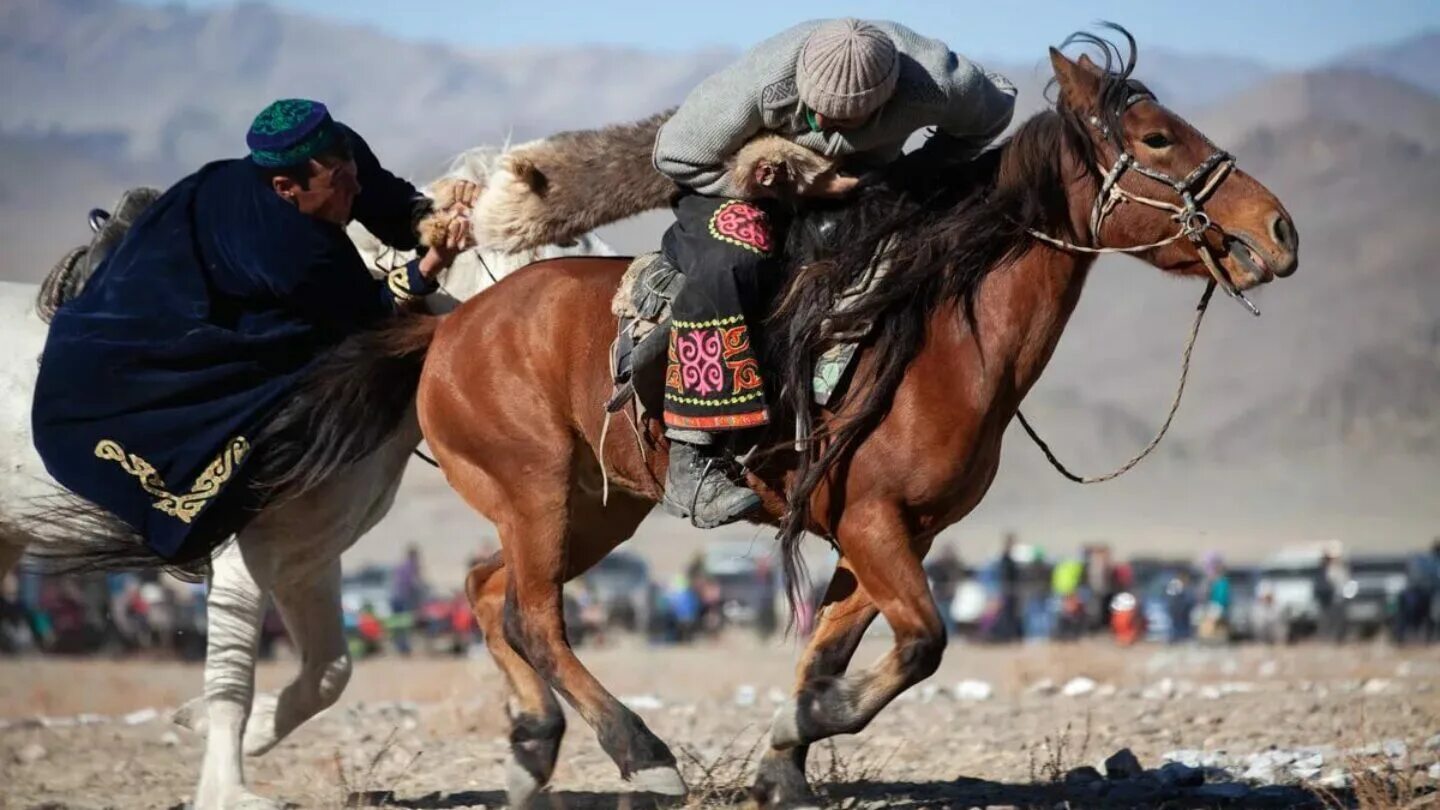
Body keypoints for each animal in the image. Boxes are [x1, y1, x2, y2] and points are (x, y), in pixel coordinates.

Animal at [0, 146, 613, 807]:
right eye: (568, 234)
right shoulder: (242, 556)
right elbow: (232, 682)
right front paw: (227, 789)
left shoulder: (307, 559)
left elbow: (328, 674)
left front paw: (231, 731)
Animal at [365, 29, 1301, 801]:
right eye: (1155, 139)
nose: (1279, 230)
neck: (936, 333)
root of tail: (452, 325)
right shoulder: (873, 523)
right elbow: (922, 643)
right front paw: (795, 732)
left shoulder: (892, 533)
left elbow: (831, 653)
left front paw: (784, 762)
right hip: (536, 491)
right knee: (535, 616)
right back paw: (642, 754)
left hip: (597, 506)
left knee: (488, 592)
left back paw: (533, 748)